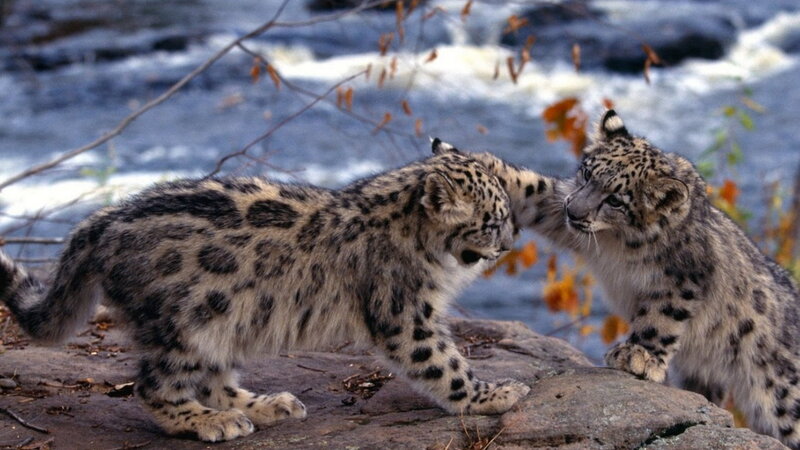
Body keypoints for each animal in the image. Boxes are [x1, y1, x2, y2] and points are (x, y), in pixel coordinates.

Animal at [0, 147, 530, 442]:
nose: (509, 245)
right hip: (186, 325)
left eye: (507, 216)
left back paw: (265, 405)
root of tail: (102, 219)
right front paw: (494, 394)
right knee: (154, 387)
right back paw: (210, 423)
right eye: (492, 221)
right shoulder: (405, 314)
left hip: (226, 321)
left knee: (216, 379)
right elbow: (444, 364)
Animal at [434, 109, 800, 447]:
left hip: (782, 394)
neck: (616, 242)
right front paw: (466, 157)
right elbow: (532, 188)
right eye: (586, 173)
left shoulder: (684, 277)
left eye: (616, 200)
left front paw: (637, 355)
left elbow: (661, 316)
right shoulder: (557, 206)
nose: (574, 211)